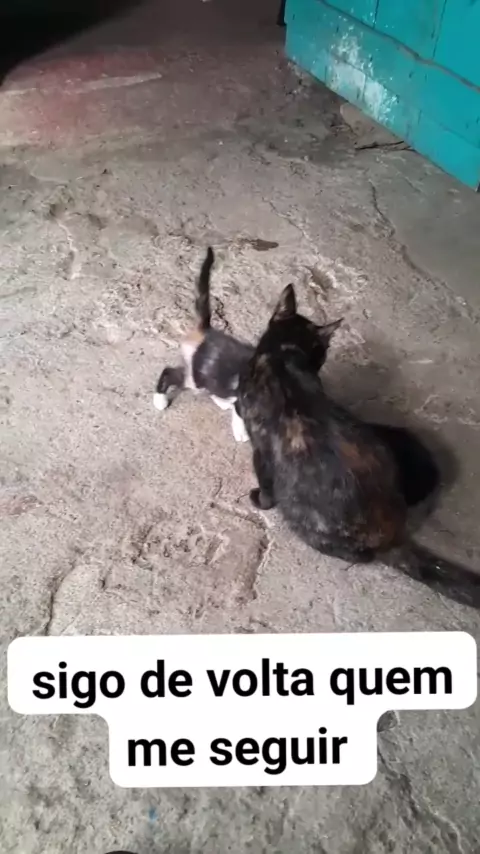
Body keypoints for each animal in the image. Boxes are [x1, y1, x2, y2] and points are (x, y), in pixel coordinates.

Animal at [154, 247, 252, 442]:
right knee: (171, 373)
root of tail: (205, 330)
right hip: (195, 378)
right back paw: (159, 399)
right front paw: (241, 431)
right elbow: (240, 412)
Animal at [236, 282, 480, 609]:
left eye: (323, 352)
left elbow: (264, 484)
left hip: (302, 516)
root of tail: (393, 535)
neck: (284, 355)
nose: (321, 361)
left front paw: (258, 499)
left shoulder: (261, 449)